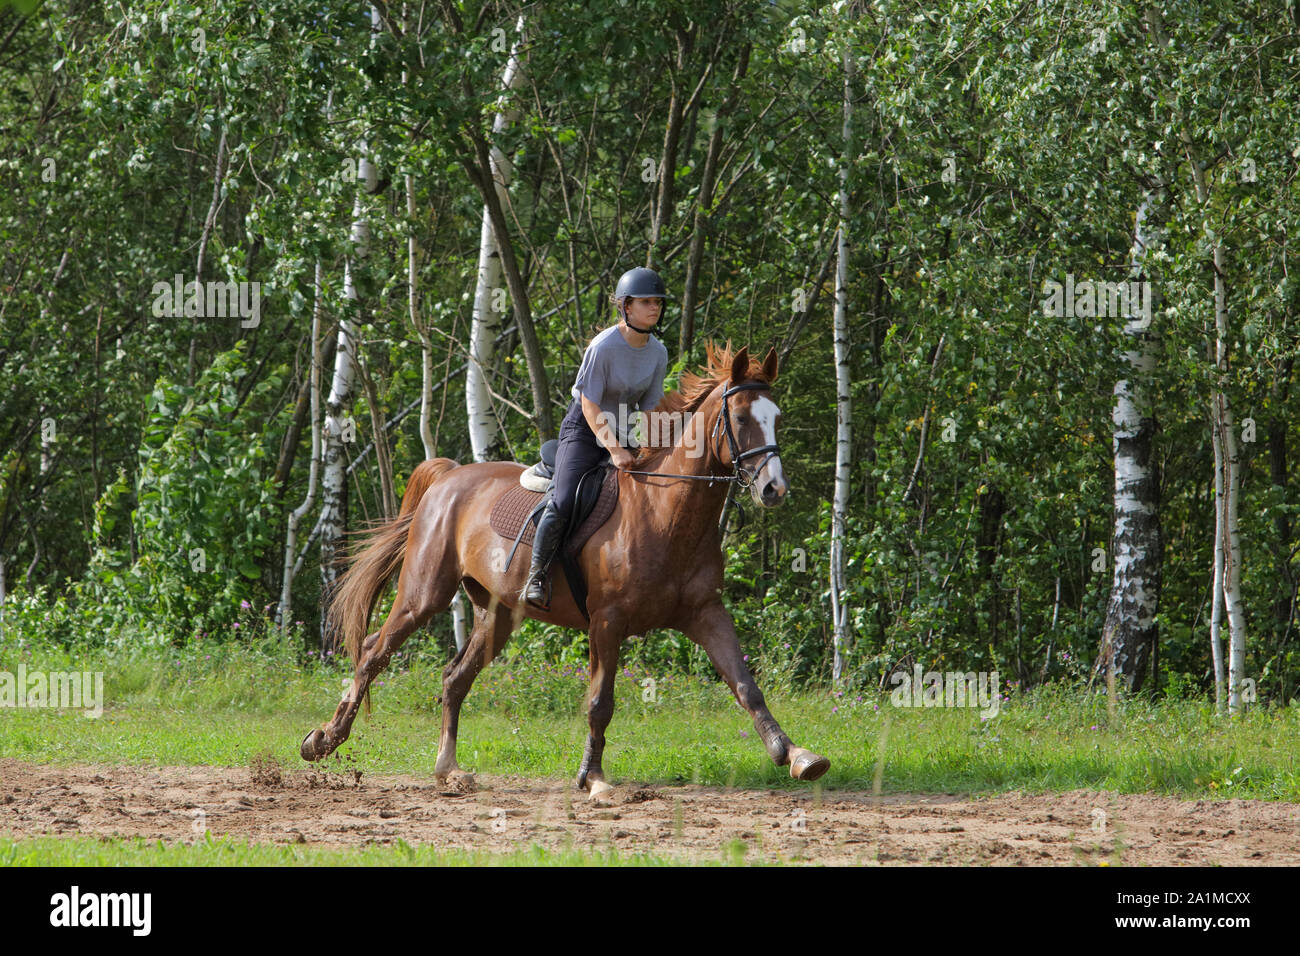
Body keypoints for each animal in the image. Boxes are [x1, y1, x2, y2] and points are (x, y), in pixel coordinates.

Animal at [300, 342, 830, 793]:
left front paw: (797, 755)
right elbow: (600, 703)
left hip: (498, 614)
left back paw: (448, 770)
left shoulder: (705, 613)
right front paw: (592, 778)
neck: (667, 512)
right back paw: (323, 740)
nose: (774, 490)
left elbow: (747, 687)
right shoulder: (607, 622)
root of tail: (450, 476)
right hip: (423, 594)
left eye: (776, 417)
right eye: (740, 417)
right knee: (374, 652)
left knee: (454, 679)